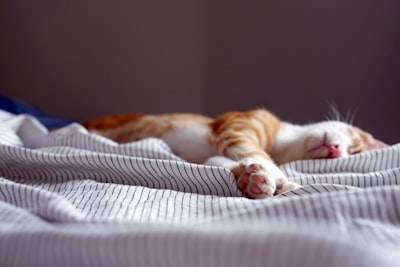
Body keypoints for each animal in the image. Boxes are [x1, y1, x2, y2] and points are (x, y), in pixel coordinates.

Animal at [82, 108, 388, 199]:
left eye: (352, 153)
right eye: (354, 145)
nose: (336, 151)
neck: (281, 145)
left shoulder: (213, 154)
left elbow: (223, 161)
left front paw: (253, 180)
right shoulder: (237, 127)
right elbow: (255, 153)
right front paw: (276, 179)